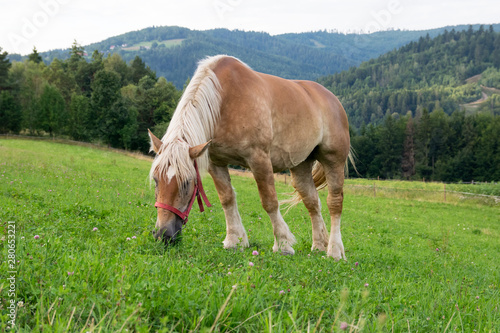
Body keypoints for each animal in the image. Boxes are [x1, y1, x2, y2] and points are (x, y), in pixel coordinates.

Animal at [148, 55, 352, 260]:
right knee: (312, 202)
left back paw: (334, 250)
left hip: (333, 159)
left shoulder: (259, 159)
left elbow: (269, 202)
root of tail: (333, 99)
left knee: (334, 202)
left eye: (187, 182)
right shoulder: (216, 162)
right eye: (156, 180)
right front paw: (234, 240)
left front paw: (283, 244)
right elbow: (227, 199)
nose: (163, 234)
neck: (224, 100)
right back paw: (319, 245)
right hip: (300, 164)